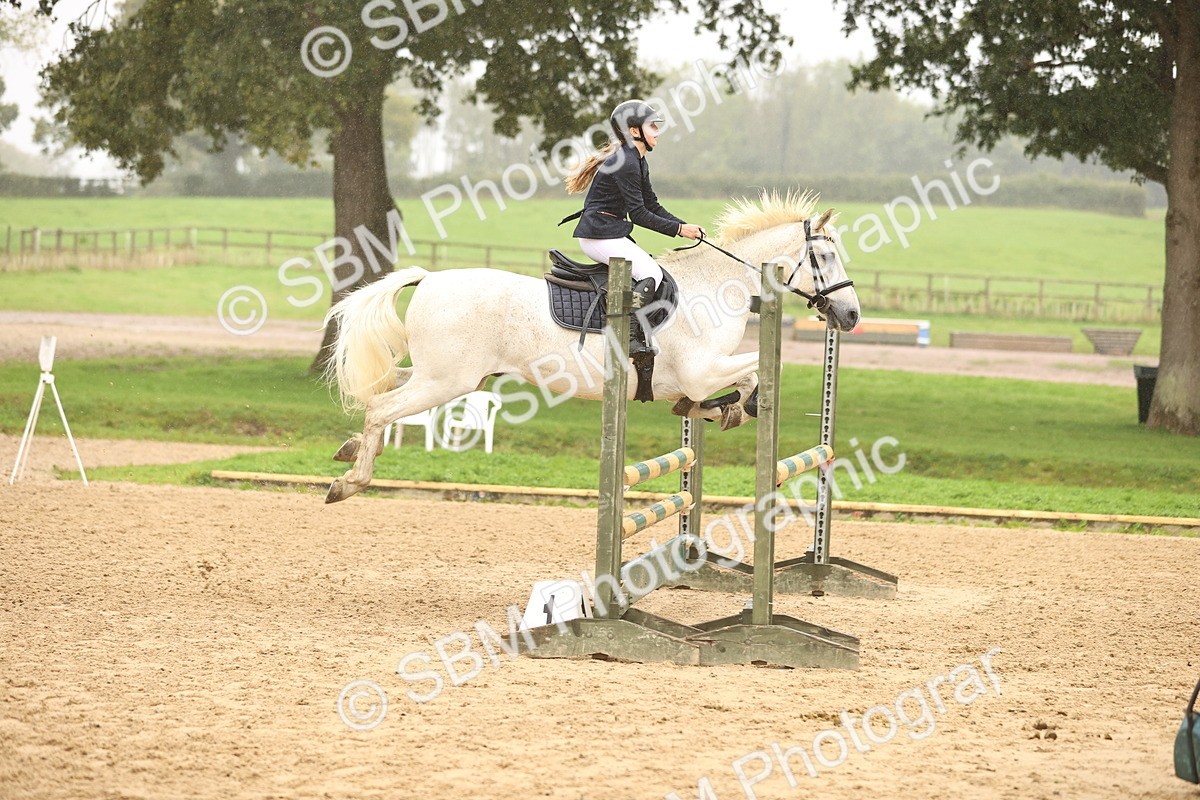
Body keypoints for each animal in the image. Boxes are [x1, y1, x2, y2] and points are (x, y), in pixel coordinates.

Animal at [322, 191, 861, 503]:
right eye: (825, 257)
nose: (852, 316)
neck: (716, 286)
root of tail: (430, 278)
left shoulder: (701, 374)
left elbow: (733, 385)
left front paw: (714, 410)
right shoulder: (702, 370)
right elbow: (757, 372)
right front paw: (730, 408)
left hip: (444, 376)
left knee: (382, 393)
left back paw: (351, 450)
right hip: (445, 381)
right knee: (381, 407)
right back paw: (351, 481)